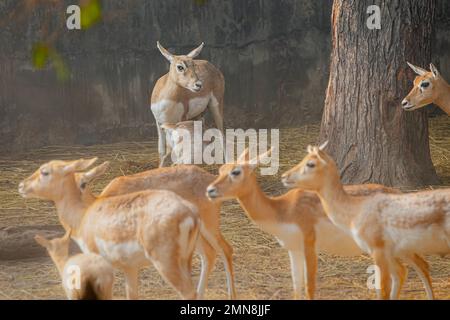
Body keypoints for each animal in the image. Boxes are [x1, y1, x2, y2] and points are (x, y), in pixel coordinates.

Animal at [18, 159, 200, 298]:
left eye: (45, 171)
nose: (21, 186)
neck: (83, 216)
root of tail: (188, 211)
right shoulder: (130, 268)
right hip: (186, 259)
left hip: (165, 262)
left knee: (188, 292)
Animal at [206, 148, 434, 300]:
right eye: (221, 169)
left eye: (236, 171)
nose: (210, 190)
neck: (283, 210)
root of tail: (399, 194)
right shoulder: (293, 249)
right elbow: (296, 287)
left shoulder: (309, 243)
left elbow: (310, 286)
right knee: (402, 272)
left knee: (420, 265)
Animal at [282, 143, 450, 300]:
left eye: (310, 163)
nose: (284, 176)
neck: (354, 212)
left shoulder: (378, 248)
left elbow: (382, 288)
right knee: (418, 266)